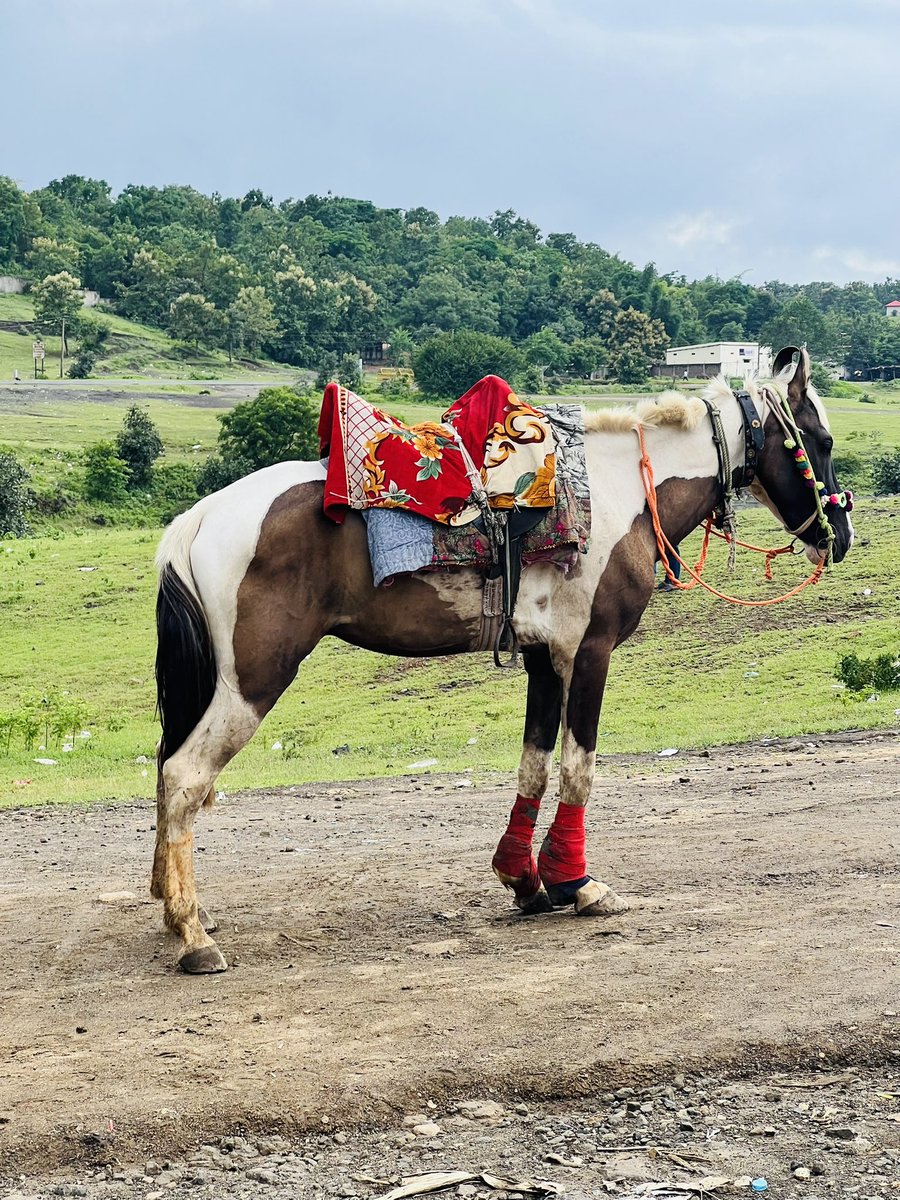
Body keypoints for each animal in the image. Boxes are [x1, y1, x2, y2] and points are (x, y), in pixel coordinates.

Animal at [152, 346, 853, 972]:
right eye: (821, 440)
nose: (840, 535)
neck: (619, 492)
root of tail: (200, 517)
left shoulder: (543, 658)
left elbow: (533, 767)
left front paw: (525, 881)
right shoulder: (589, 652)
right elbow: (578, 767)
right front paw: (578, 885)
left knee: (167, 768)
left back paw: (176, 904)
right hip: (252, 680)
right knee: (185, 775)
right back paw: (192, 937)